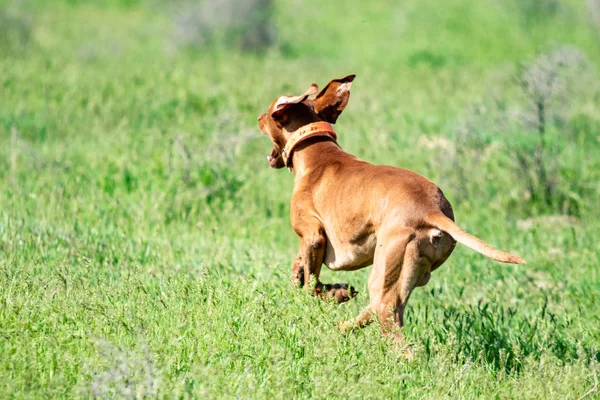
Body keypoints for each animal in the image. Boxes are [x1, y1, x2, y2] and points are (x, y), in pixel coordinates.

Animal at [258, 74, 524, 332]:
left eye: (269, 111)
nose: (259, 117)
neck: (317, 152)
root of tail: (432, 209)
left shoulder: (313, 237)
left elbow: (311, 287)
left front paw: (334, 293)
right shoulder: (312, 243)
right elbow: (301, 271)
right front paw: (328, 286)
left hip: (385, 273)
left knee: (387, 319)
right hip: (404, 276)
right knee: (373, 310)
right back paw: (342, 327)